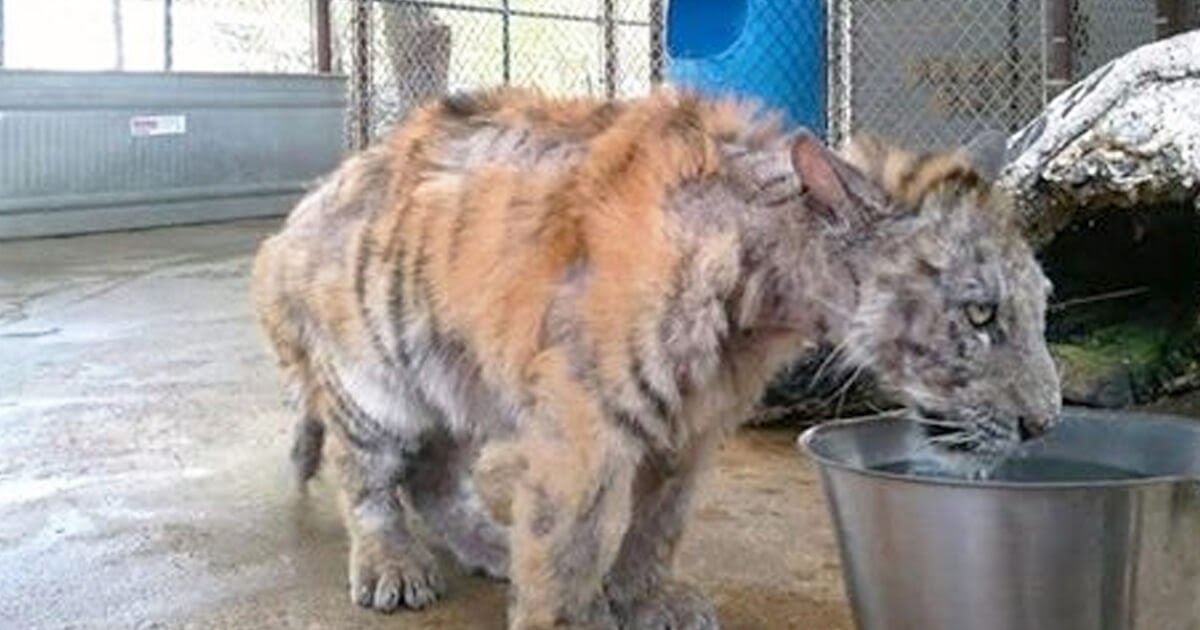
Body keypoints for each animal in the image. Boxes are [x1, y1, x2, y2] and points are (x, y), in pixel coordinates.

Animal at [250, 86, 1060, 629]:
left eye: (1041, 303)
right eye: (981, 314)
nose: (1046, 424)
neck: (764, 296)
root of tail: (295, 218)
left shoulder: (691, 425)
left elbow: (658, 523)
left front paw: (643, 600)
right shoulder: (582, 422)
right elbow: (569, 540)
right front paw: (565, 617)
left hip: (462, 383)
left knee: (434, 478)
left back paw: (491, 544)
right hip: (375, 380)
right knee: (367, 477)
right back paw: (393, 567)